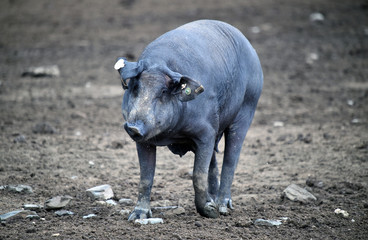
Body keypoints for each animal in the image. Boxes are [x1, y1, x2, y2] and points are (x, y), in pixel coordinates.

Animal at [113, 19, 264, 220]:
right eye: (135, 87)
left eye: (163, 91)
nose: (133, 127)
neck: (172, 133)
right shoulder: (144, 141)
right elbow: (146, 176)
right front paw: (137, 216)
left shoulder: (207, 131)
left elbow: (197, 174)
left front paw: (210, 212)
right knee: (214, 163)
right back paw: (213, 199)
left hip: (248, 106)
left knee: (231, 158)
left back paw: (222, 207)